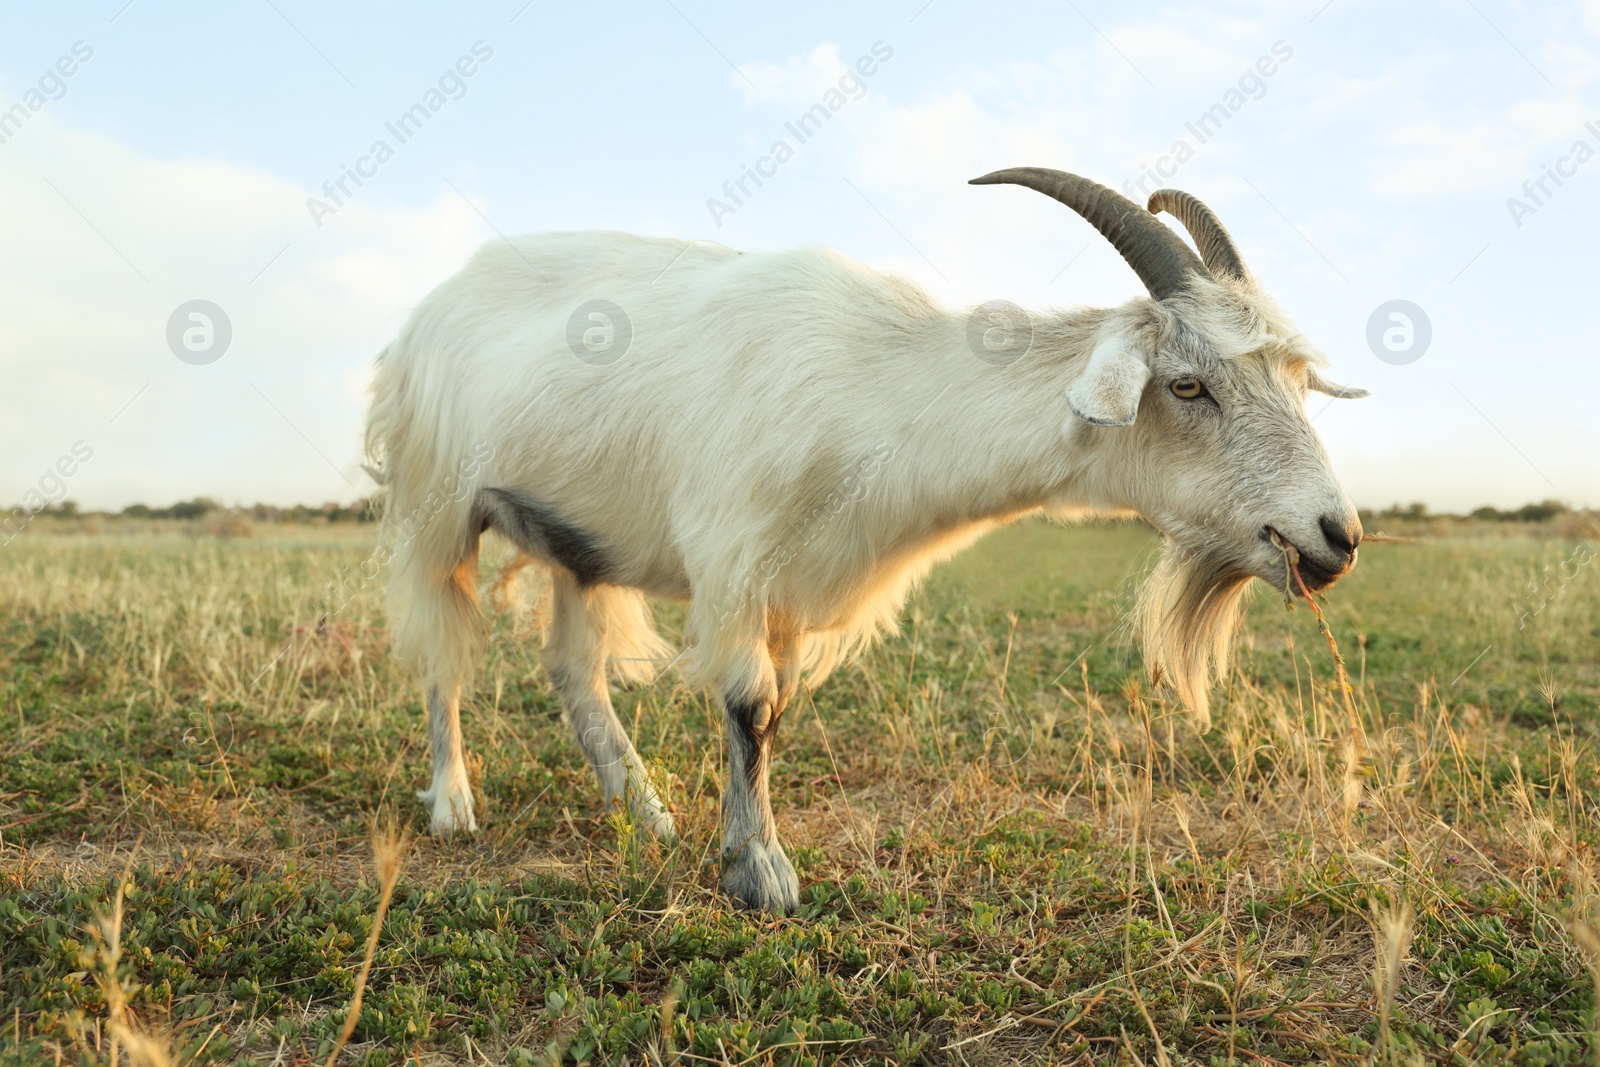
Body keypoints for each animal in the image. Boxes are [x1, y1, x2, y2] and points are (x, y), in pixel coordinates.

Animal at [368, 167, 1369, 908]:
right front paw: (761, 874)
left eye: (1297, 381)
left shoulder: (795, 587)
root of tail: (432, 305)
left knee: (575, 672)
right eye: (1191, 386)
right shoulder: (737, 557)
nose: (1337, 535)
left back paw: (645, 814)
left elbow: (771, 713)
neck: (882, 385)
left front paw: (735, 848)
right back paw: (454, 803)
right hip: (438, 505)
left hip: (582, 539)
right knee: (442, 650)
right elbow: (749, 706)